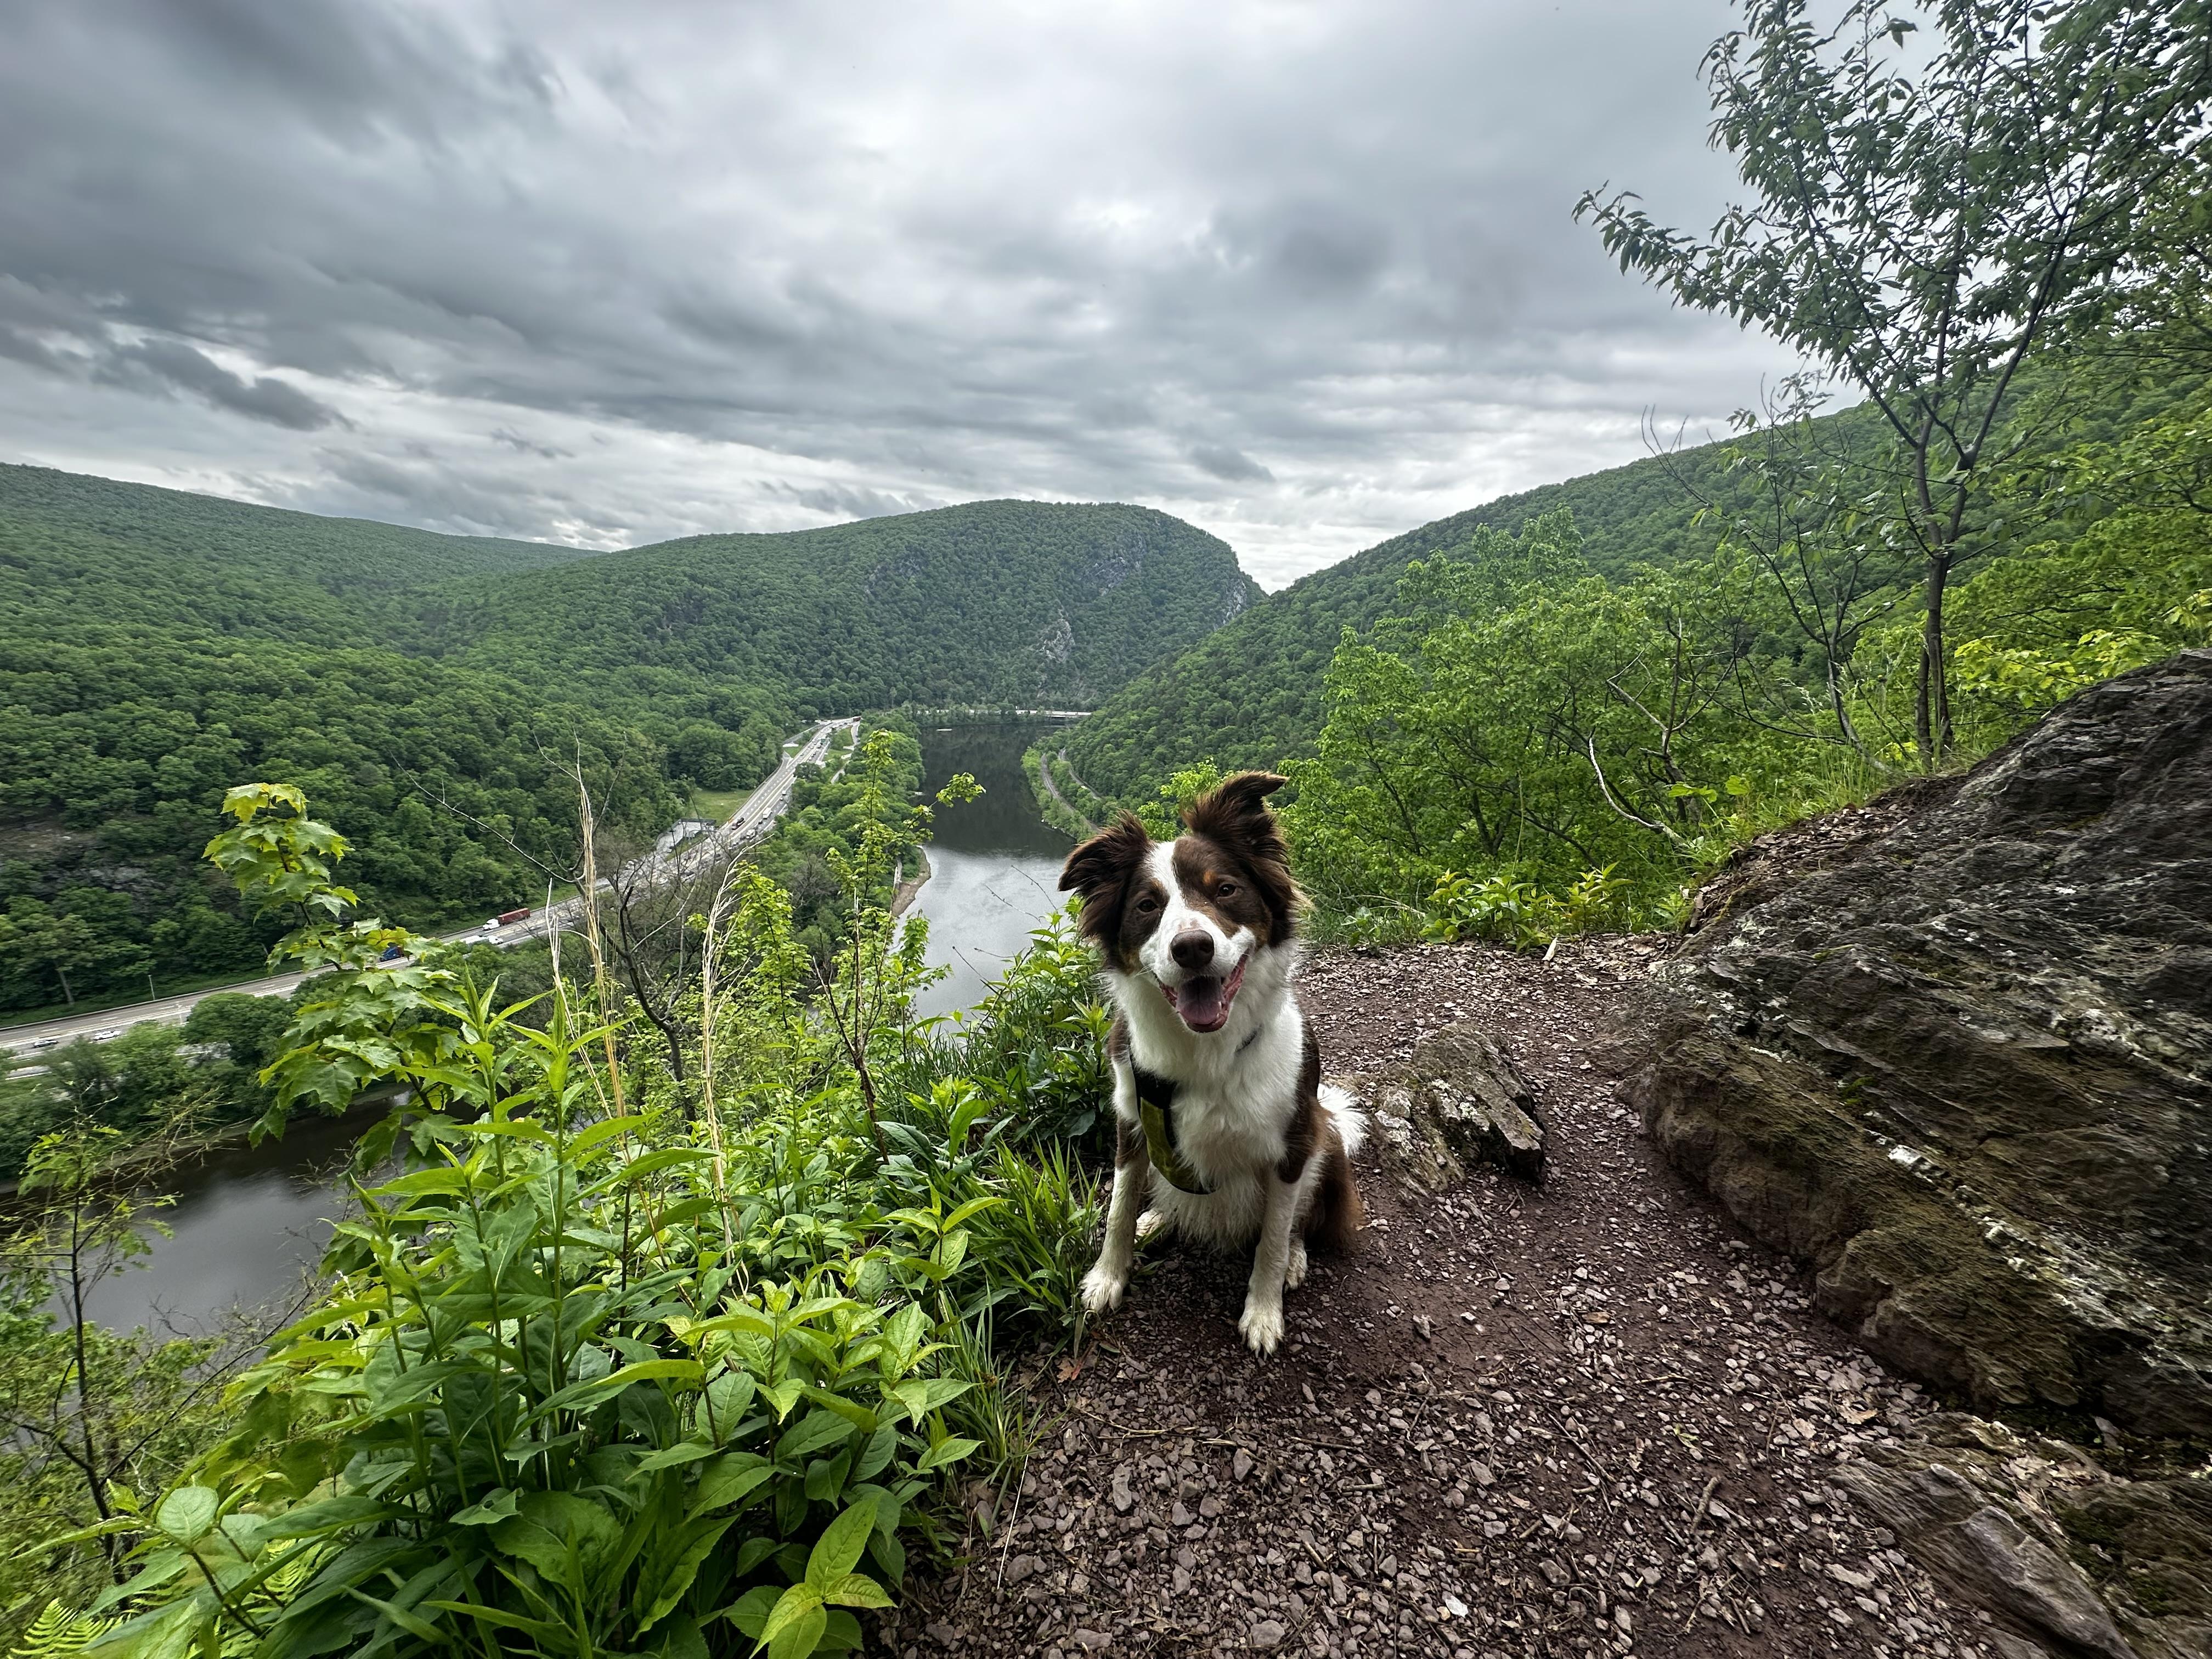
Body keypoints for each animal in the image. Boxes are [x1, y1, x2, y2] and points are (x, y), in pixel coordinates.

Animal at [1057, 774, 1353, 1353]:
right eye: (1147, 905)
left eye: (1225, 891)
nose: (1192, 947)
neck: (1206, 1053)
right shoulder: (1131, 1118)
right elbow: (1119, 1206)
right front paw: (1107, 1277)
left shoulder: (1291, 1144)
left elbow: (1272, 1237)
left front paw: (1263, 1312)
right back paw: (1156, 1220)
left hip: (1326, 1135)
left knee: (1300, 1222)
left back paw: (1296, 1259)